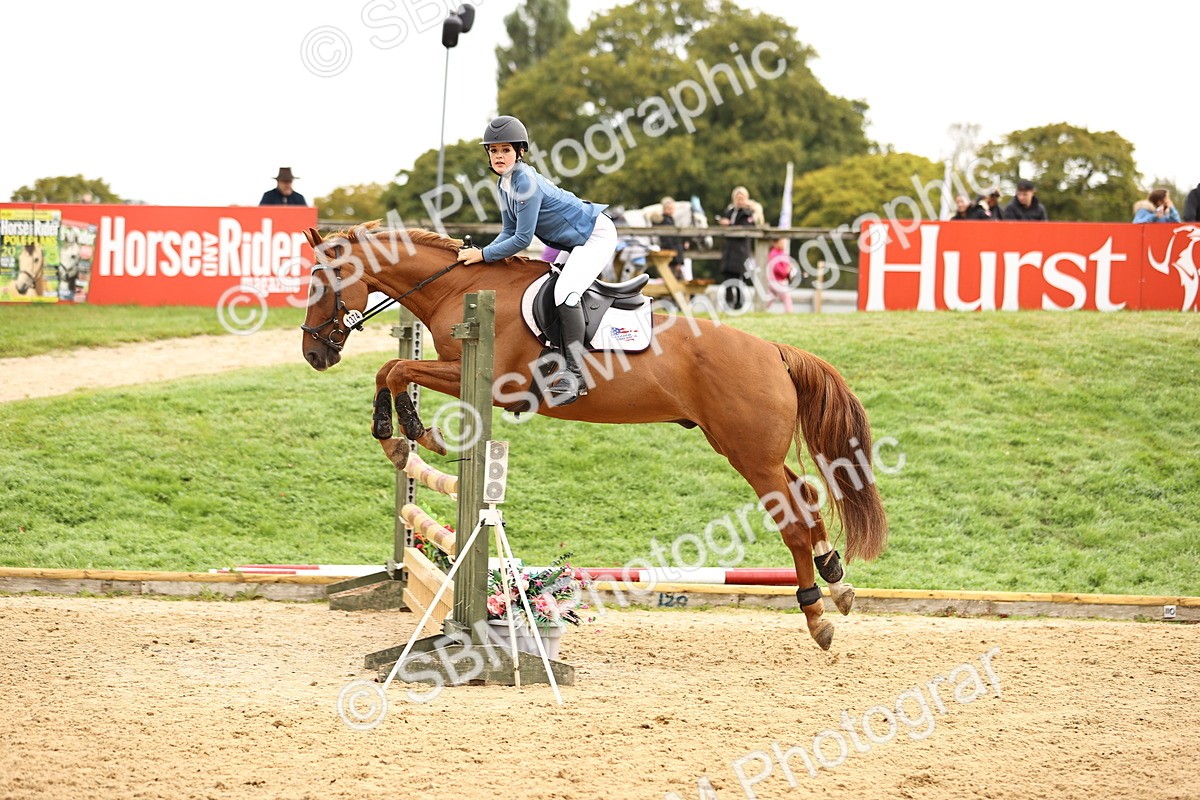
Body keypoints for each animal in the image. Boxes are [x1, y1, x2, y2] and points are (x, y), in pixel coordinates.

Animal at [299, 223, 887, 650]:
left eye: (323, 282)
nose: (313, 353)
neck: (458, 286)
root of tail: (773, 352)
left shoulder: (493, 383)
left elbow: (398, 368)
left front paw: (409, 435)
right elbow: (390, 368)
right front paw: (401, 436)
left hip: (751, 456)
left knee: (792, 519)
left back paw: (816, 614)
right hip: (741, 447)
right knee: (806, 497)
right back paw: (838, 581)